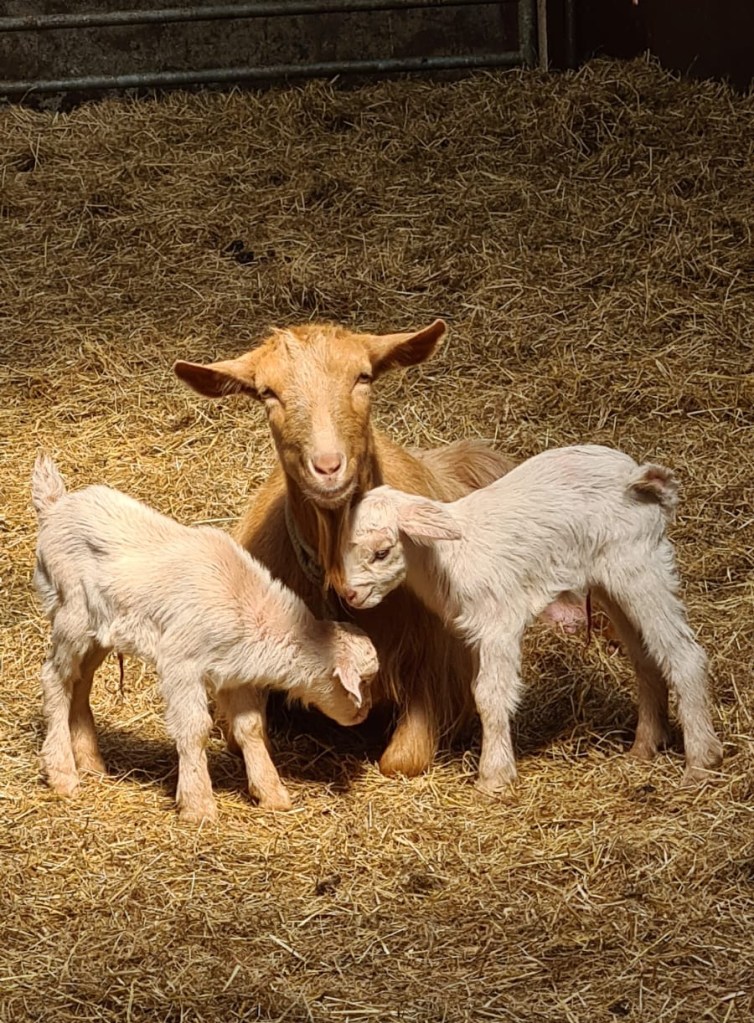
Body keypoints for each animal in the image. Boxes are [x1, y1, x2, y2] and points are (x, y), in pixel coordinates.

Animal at [31, 454, 377, 822]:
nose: (364, 713)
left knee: (79, 683)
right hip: (71, 612)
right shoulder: (181, 663)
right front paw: (198, 805)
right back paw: (63, 773)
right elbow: (194, 729)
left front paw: (271, 794)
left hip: (100, 632)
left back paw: (90, 763)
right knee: (54, 678)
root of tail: (54, 507)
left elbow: (251, 728)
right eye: (364, 681)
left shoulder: (233, 673)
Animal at [337, 444, 723, 793]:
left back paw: (701, 763)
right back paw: (644, 747)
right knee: (646, 658)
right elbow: (479, 690)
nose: (350, 595)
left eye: (382, 552)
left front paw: (493, 778)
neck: (449, 558)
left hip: (641, 565)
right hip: (610, 581)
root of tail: (638, 476)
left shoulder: (498, 623)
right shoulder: (477, 632)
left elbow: (490, 695)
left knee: (684, 655)